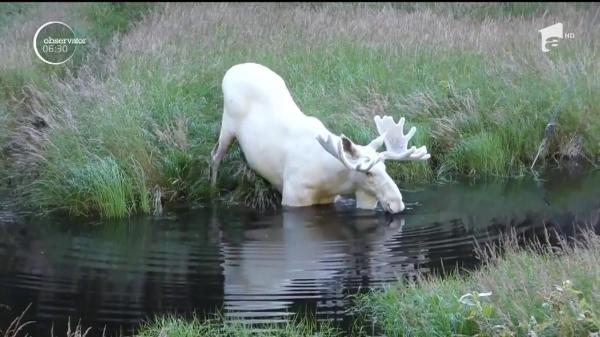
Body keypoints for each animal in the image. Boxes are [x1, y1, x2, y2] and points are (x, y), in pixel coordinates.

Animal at [209, 62, 428, 213]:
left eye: (385, 168)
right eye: (368, 173)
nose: (397, 204)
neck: (331, 181)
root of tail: (231, 70)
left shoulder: (329, 199)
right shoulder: (293, 197)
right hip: (227, 125)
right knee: (215, 155)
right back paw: (212, 187)